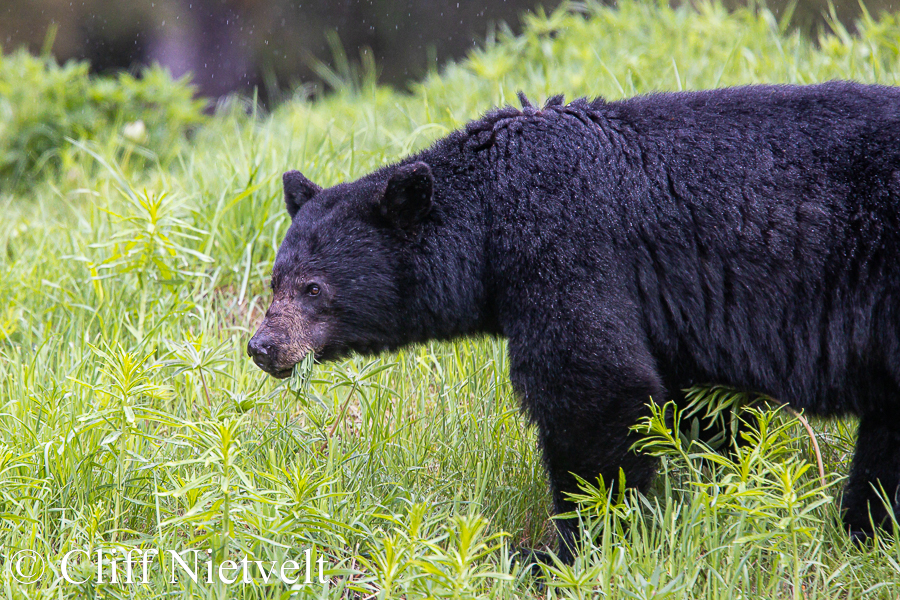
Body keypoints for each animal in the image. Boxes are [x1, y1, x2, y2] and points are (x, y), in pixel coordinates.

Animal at [248, 81, 900, 564]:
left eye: (313, 288)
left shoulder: (565, 244)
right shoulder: (678, 309)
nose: (263, 345)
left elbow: (593, 386)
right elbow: (703, 404)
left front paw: (573, 548)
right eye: (275, 280)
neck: (491, 210)